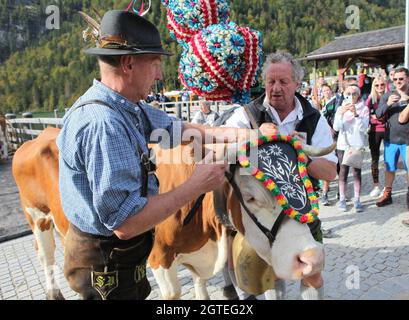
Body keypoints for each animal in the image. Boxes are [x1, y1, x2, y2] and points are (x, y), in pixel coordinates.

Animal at [12, 127, 330, 300]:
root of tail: (39, 135)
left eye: (306, 180)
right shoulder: (159, 257)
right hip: (36, 217)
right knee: (46, 257)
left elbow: (201, 285)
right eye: (251, 197)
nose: (313, 258)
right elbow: (173, 293)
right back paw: (53, 292)